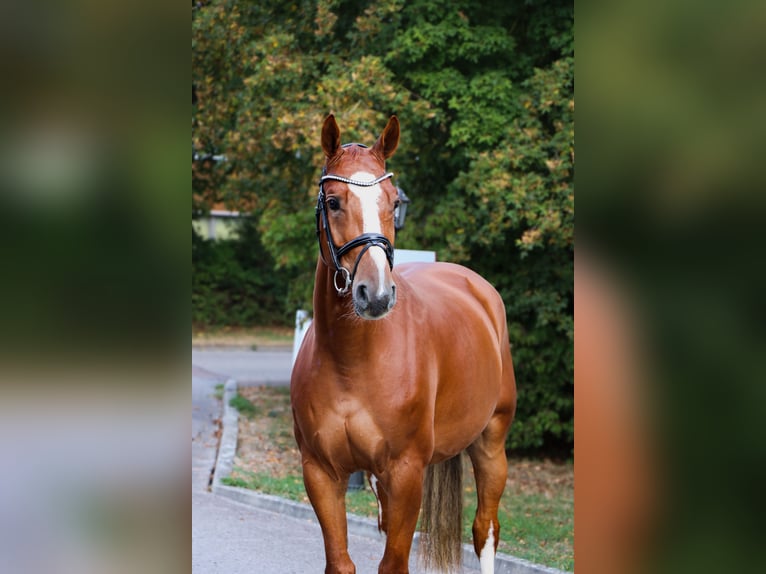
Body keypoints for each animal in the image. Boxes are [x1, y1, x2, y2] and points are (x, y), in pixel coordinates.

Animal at [290, 114, 517, 574]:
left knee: (485, 529)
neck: (352, 362)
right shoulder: (320, 472)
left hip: (491, 442)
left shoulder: (406, 472)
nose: (375, 294)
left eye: (394, 203)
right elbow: (340, 562)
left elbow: (394, 563)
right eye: (334, 202)